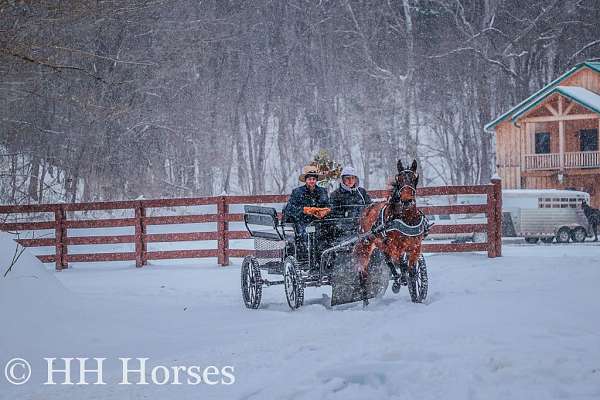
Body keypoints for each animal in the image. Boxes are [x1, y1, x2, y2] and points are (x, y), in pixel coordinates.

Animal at [354, 158, 424, 304]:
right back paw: (366, 303)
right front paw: (400, 281)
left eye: (413, 178)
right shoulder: (395, 246)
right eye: (399, 179)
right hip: (367, 246)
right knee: (363, 273)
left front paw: (416, 299)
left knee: (388, 261)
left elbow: (412, 273)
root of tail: (366, 209)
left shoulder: (416, 247)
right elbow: (401, 264)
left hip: (381, 245)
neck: (406, 219)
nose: (407, 200)